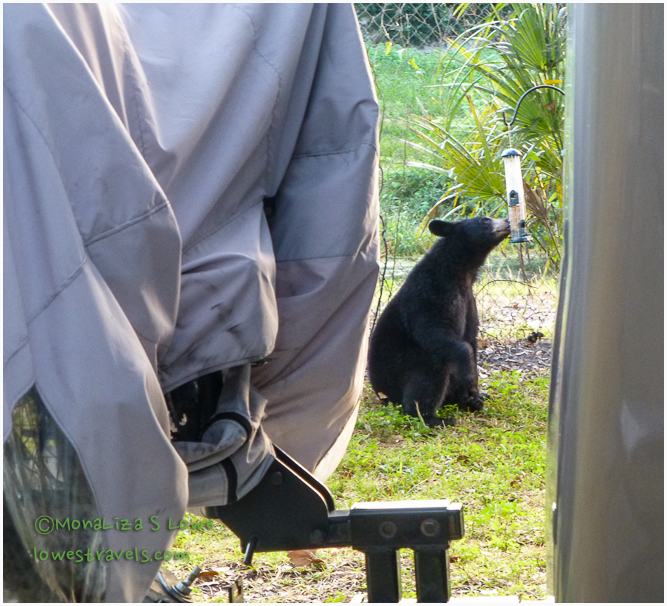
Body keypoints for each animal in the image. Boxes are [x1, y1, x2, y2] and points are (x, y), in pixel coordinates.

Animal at [367, 217, 510, 426]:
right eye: (484, 220)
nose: (508, 221)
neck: (461, 271)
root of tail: (380, 392)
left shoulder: (469, 299)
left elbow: (471, 336)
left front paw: (475, 391)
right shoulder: (431, 292)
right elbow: (434, 331)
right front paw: (469, 377)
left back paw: (470, 401)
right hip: (396, 375)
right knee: (430, 372)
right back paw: (433, 418)